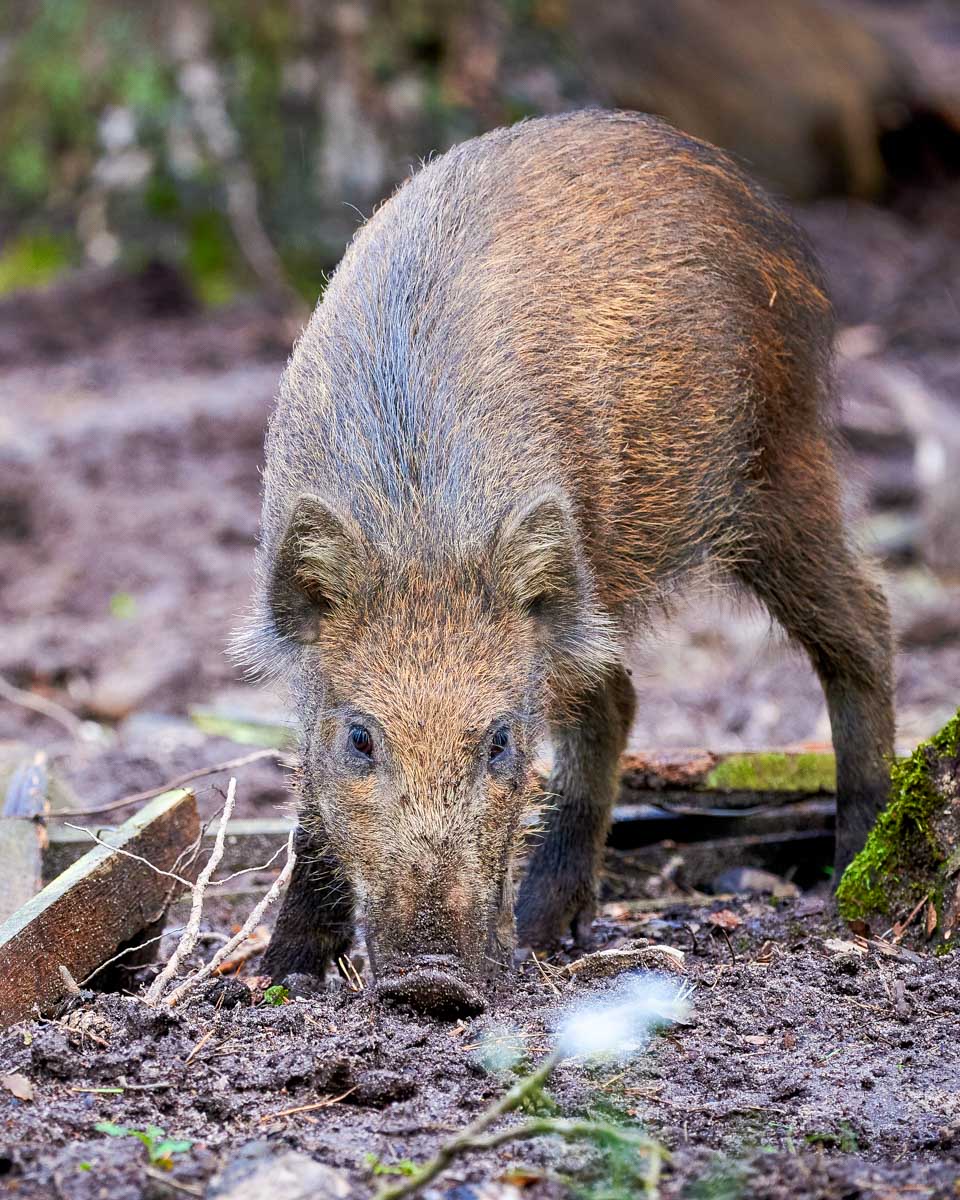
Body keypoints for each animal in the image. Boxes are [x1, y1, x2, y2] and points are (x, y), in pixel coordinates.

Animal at [236, 110, 893, 1015]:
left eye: (501, 742)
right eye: (362, 739)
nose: (433, 981)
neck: (420, 524)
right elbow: (307, 798)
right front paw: (278, 974)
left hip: (777, 468)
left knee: (865, 621)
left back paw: (849, 876)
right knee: (620, 695)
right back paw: (547, 930)